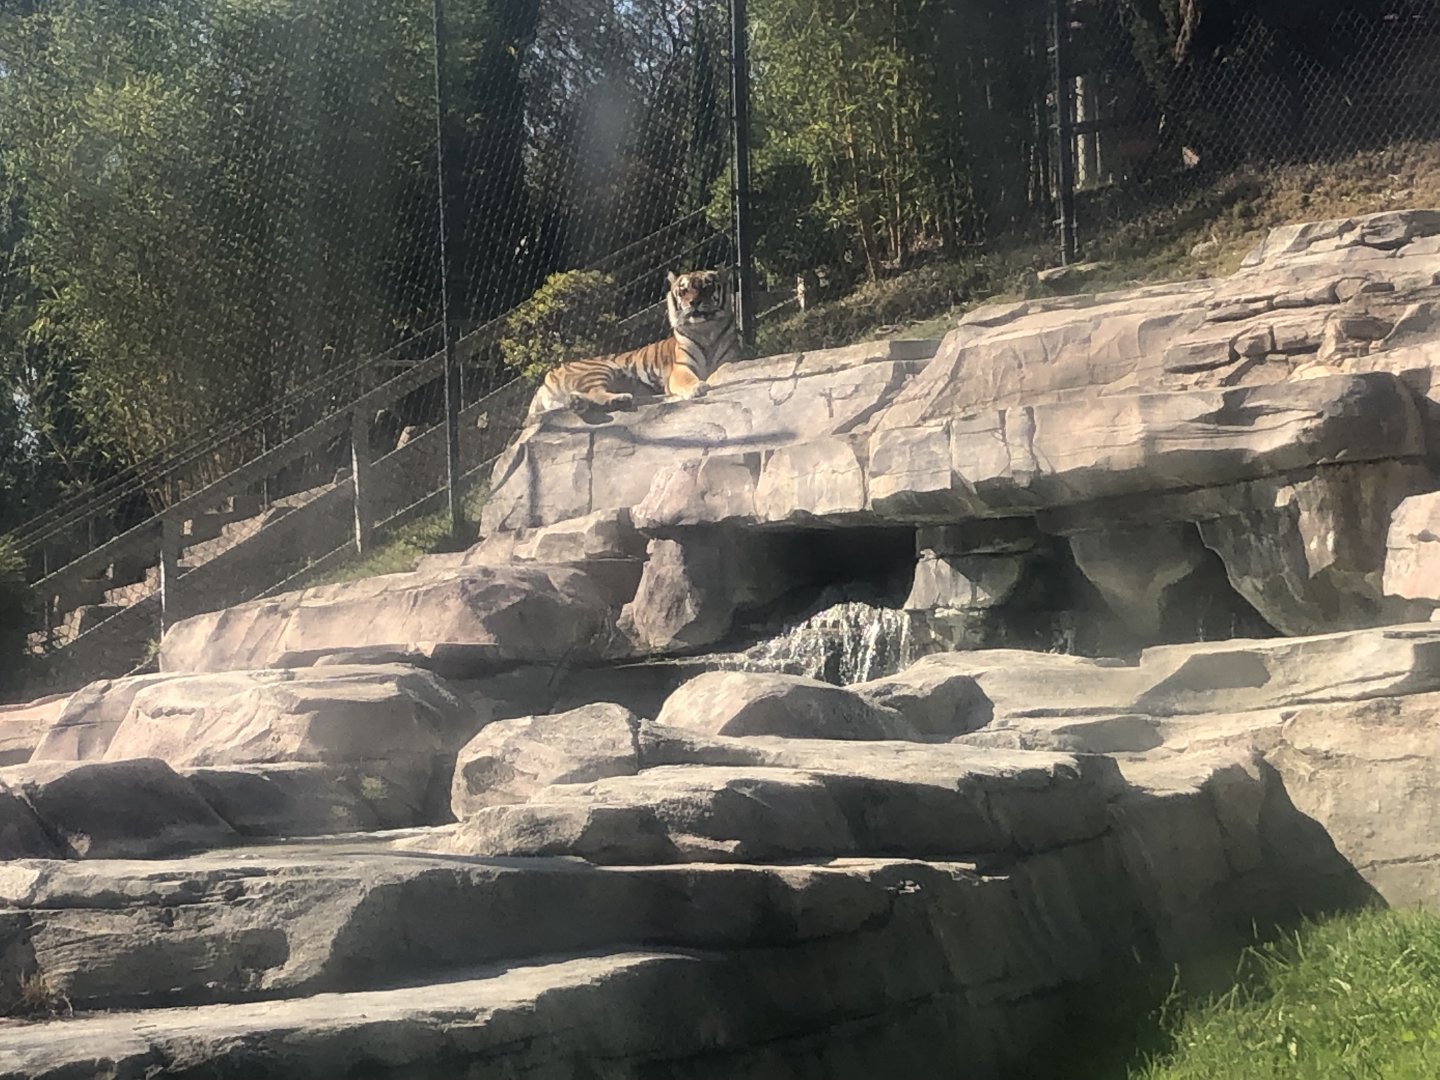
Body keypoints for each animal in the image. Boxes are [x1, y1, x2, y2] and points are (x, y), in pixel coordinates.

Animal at [527, 268, 741, 418]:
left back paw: (578, 403)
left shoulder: (729, 359)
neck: (706, 330)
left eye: (706, 287)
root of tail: (544, 381)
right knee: (596, 391)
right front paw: (697, 387)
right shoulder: (680, 368)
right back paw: (619, 399)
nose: (693, 302)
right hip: (599, 369)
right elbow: (687, 379)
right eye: (683, 291)